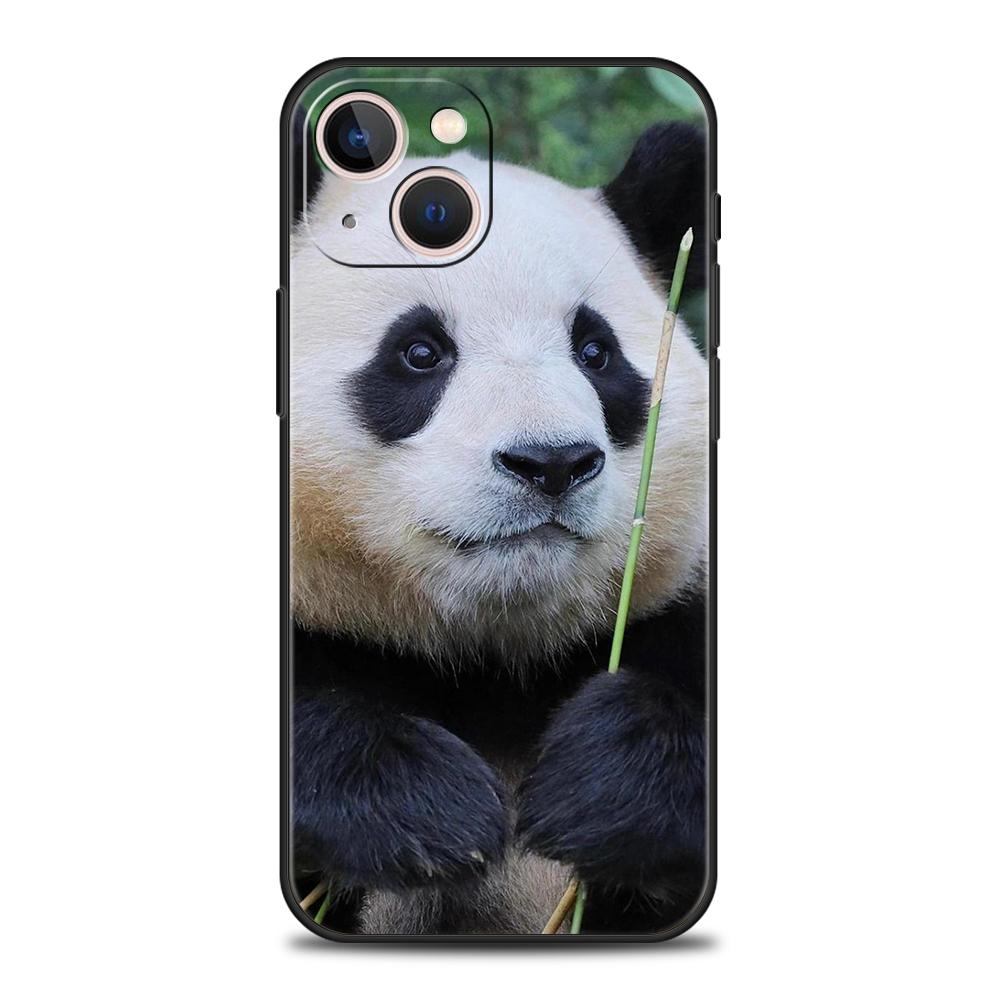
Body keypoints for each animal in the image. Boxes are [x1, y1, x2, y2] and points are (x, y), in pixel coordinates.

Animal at [289, 121, 711, 935]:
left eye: (595, 352)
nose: (551, 463)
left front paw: (601, 784)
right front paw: (427, 812)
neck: (490, 660)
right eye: (421, 352)